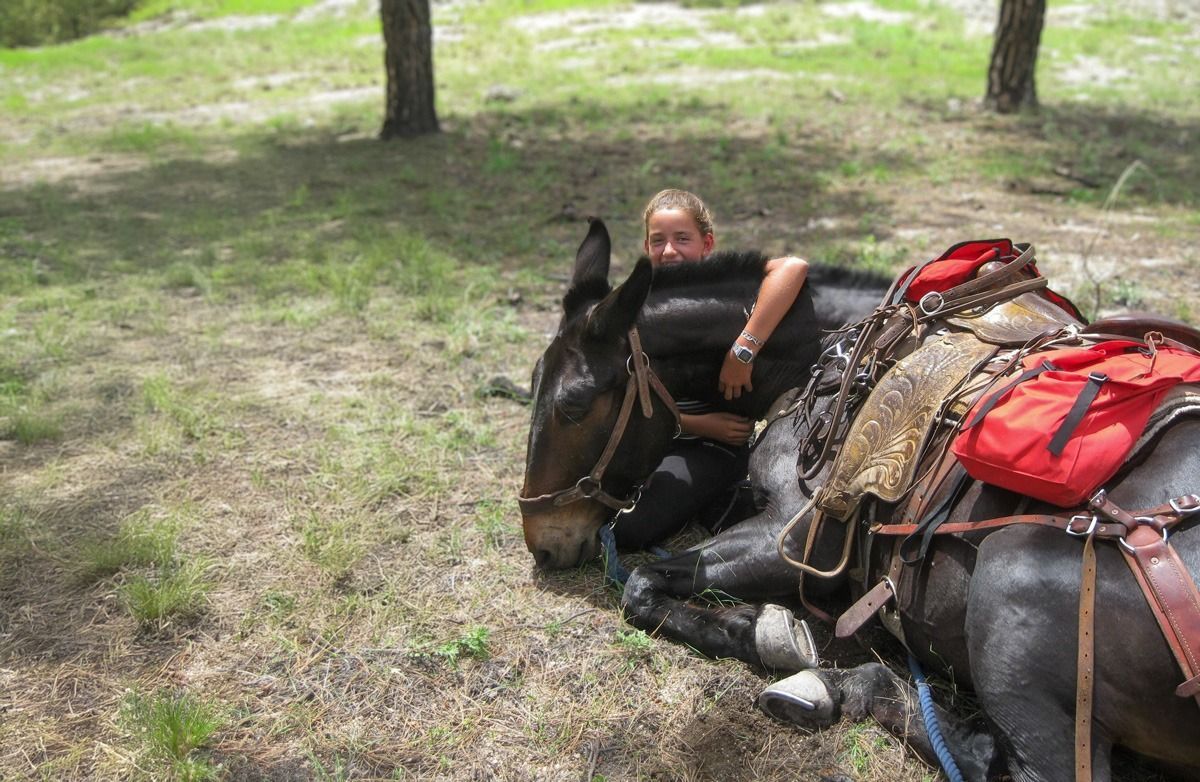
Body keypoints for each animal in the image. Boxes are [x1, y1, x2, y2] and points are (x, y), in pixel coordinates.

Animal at [519, 219, 1200, 781]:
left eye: (573, 405)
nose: (542, 542)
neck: (826, 359)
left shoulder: (792, 542)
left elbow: (639, 587)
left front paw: (768, 631)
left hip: (1015, 580)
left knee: (991, 759)